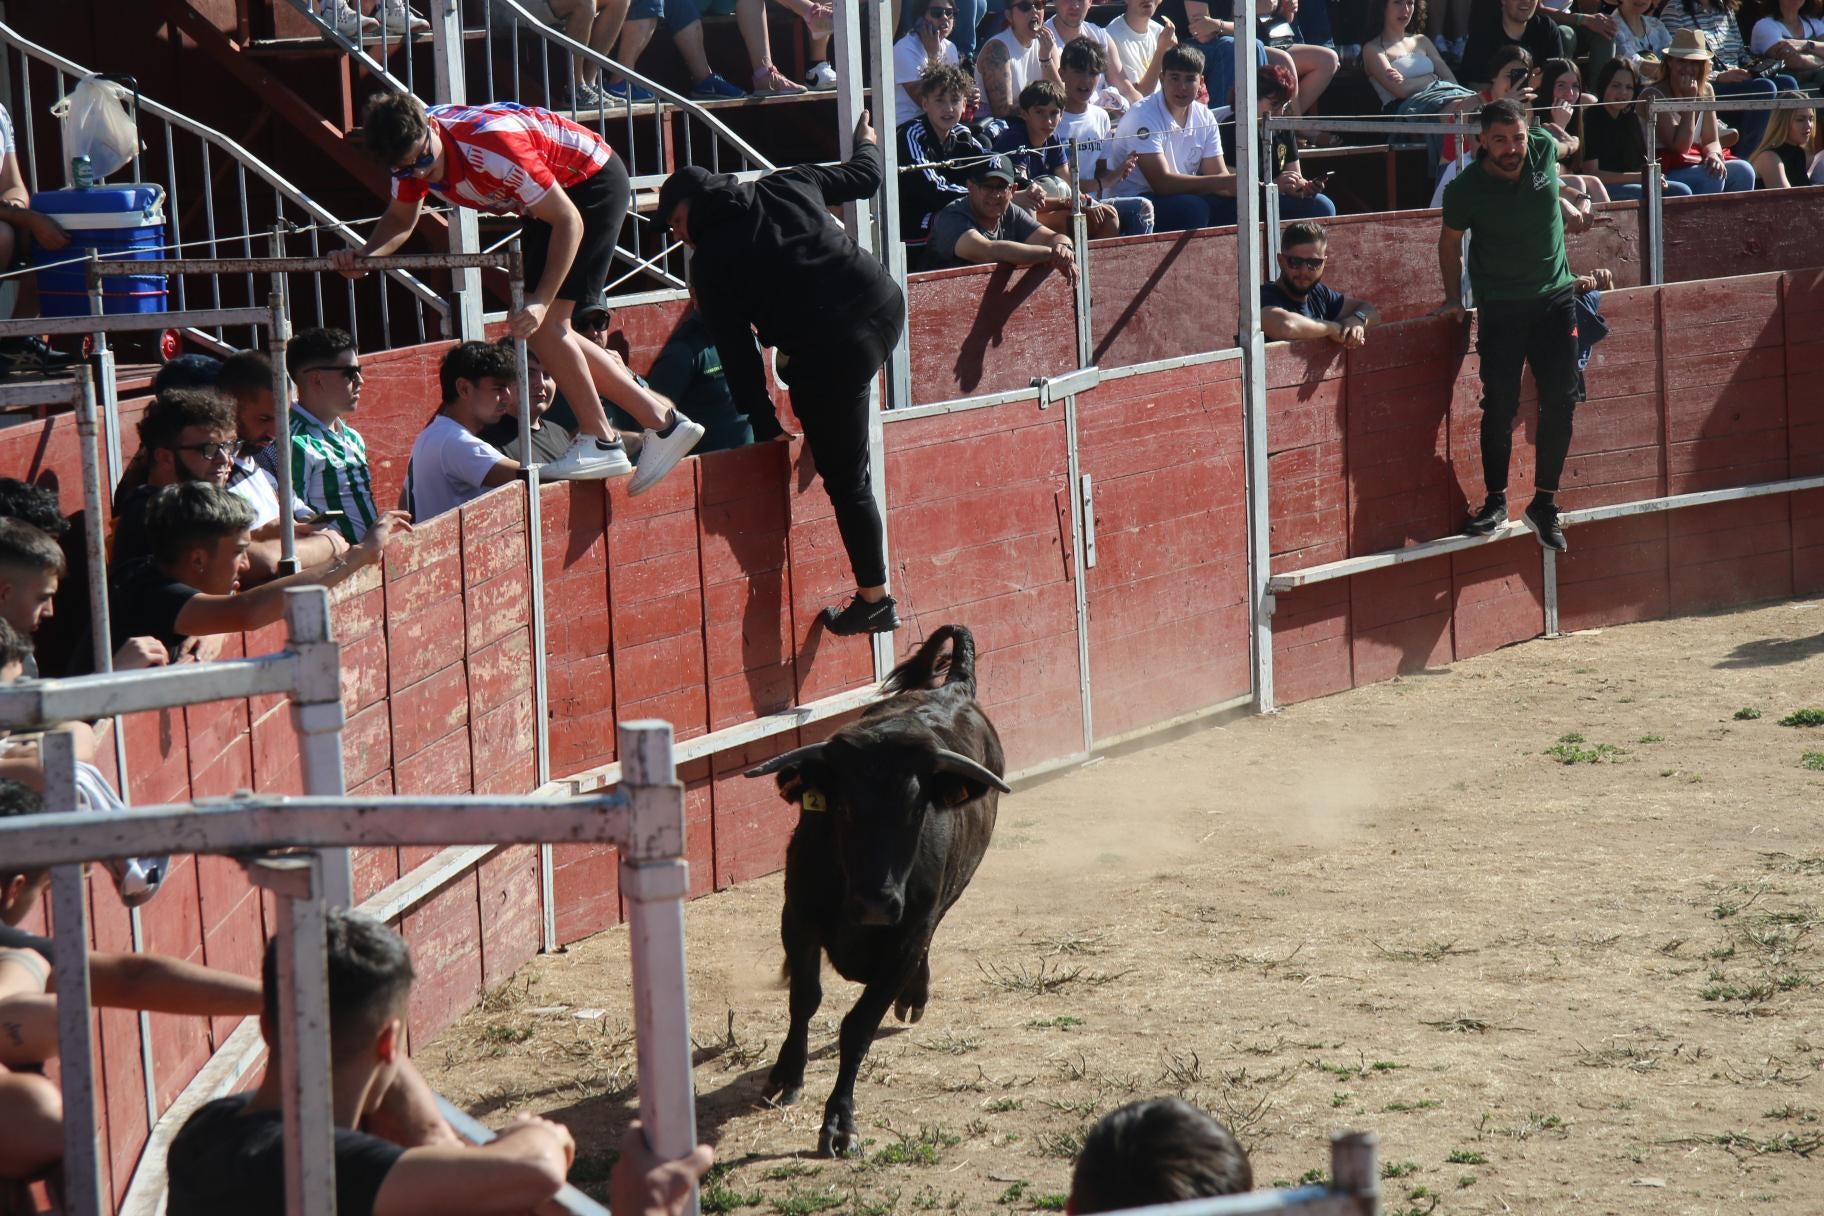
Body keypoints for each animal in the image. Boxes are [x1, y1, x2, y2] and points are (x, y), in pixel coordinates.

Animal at [744, 627, 1014, 1159]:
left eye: (917, 808)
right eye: (843, 807)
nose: (877, 904)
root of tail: (953, 687)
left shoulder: (906, 937)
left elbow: (859, 1024)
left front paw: (838, 1123)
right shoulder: (797, 920)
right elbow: (805, 999)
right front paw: (785, 1077)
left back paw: (915, 994)